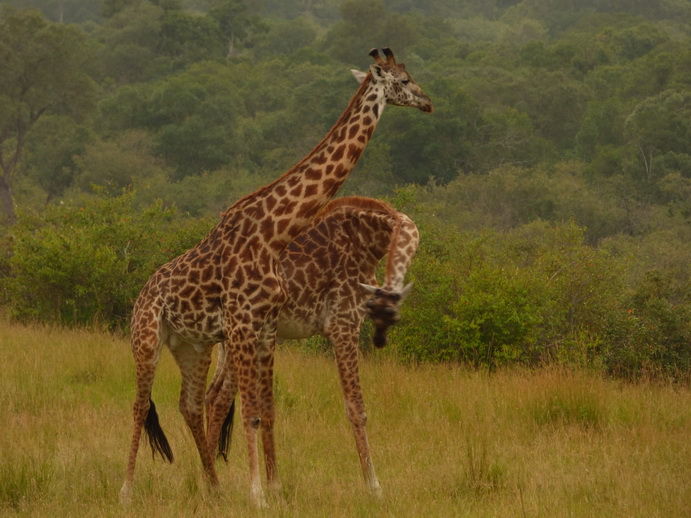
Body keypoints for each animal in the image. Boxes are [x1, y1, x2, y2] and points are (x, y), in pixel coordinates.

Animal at [120, 46, 432, 510]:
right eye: (405, 80)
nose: (428, 102)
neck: (270, 232)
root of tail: (142, 293)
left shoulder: (263, 328)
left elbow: (264, 409)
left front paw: (273, 487)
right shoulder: (317, 323)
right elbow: (325, 409)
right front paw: (366, 488)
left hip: (195, 346)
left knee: (191, 403)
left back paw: (212, 487)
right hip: (149, 339)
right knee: (144, 405)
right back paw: (128, 489)